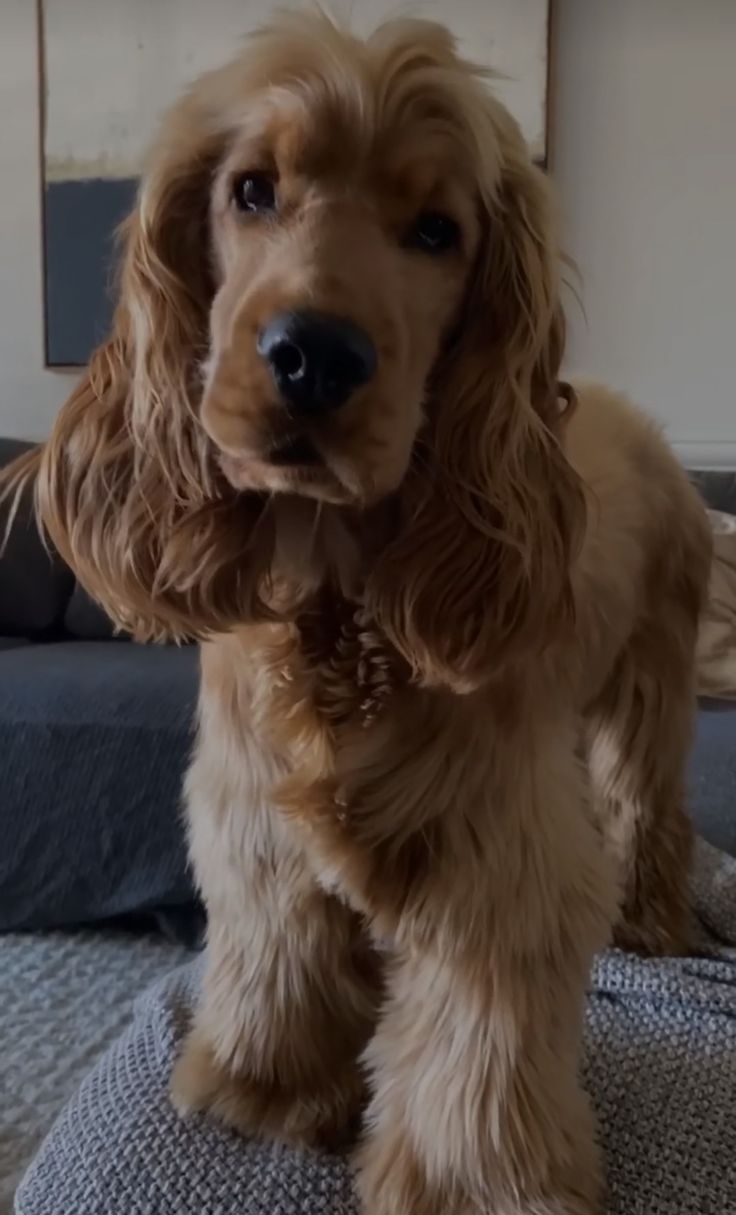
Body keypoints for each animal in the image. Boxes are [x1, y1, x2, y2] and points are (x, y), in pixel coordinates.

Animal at [2, 11, 714, 1215]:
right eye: (251, 190)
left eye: (436, 230)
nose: (313, 353)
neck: (337, 596)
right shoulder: (254, 810)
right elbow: (278, 949)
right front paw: (269, 1085)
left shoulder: (494, 849)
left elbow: (481, 1039)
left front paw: (480, 1180)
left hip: (649, 694)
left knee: (645, 813)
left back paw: (653, 917)